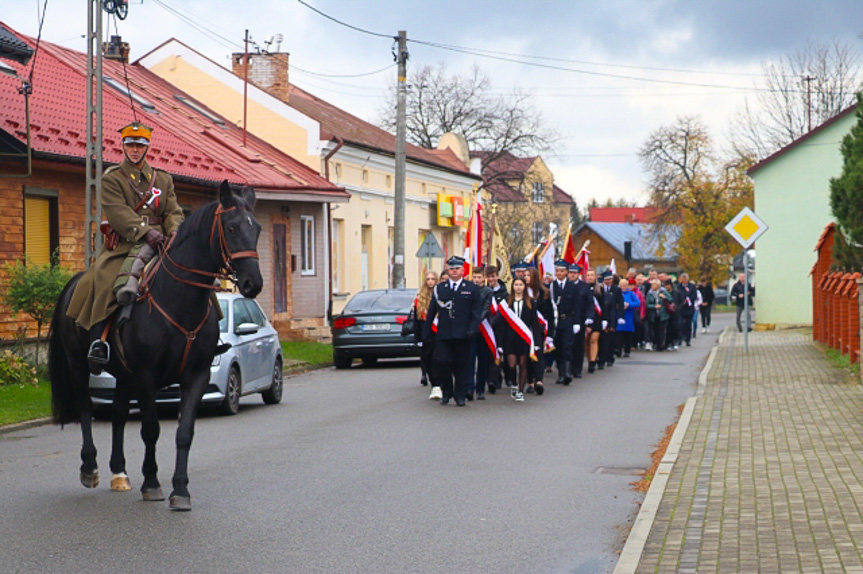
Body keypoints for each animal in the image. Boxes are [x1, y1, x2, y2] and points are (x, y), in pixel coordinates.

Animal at [47, 181, 262, 512]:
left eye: (258, 229)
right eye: (232, 226)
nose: (253, 283)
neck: (179, 300)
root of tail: (76, 281)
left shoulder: (196, 376)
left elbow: (185, 432)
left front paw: (181, 490)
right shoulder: (147, 377)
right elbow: (151, 429)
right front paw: (152, 483)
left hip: (123, 374)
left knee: (119, 415)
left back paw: (119, 473)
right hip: (78, 363)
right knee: (85, 409)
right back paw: (90, 469)